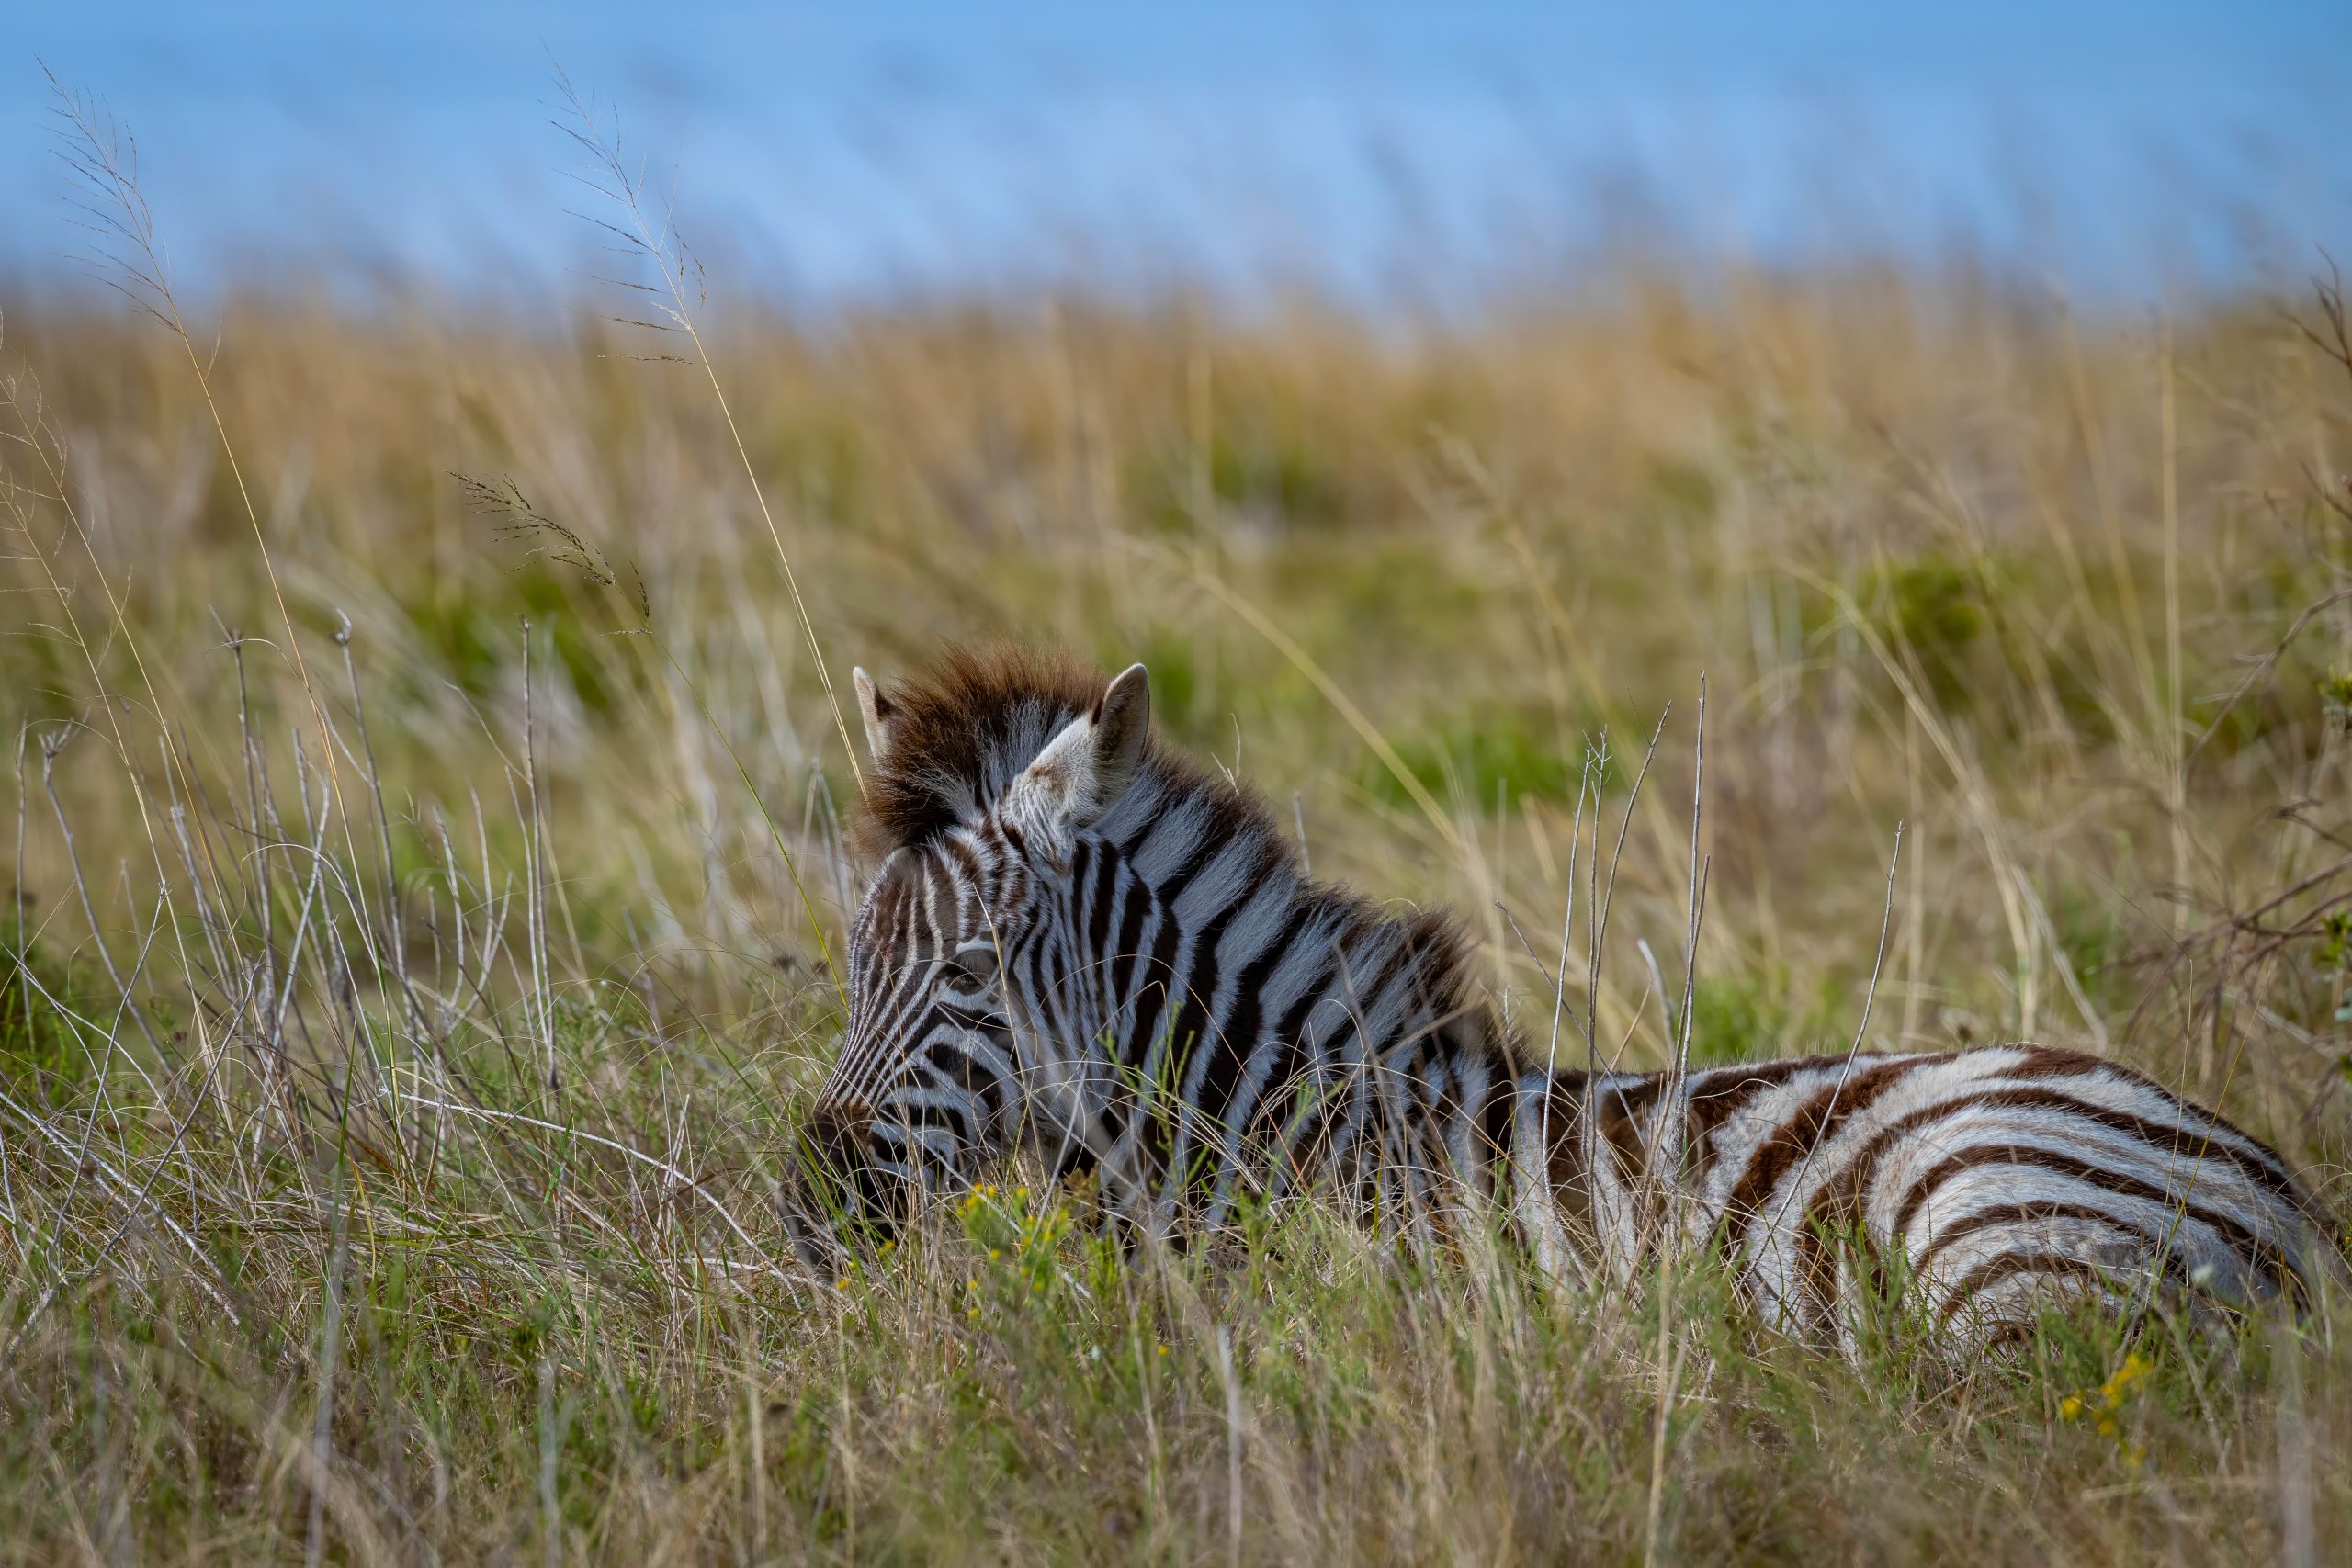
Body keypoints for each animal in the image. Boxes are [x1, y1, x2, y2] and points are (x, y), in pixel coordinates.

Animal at [781, 647, 2341, 1355]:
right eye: (853, 964)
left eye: (973, 970)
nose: (814, 1202)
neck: (1285, 1142)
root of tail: (2288, 1196)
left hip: (1992, 1237)